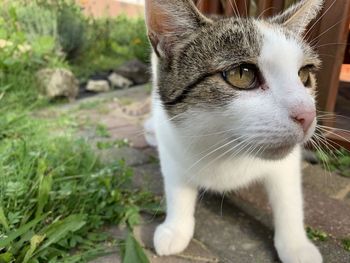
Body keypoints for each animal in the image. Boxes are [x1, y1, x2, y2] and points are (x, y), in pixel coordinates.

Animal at [144, 1, 322, 262]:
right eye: (242, 74)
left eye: (304, 75)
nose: (308, 115)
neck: (226, 152)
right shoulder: (171, 140)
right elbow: (177, 188)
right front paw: (175, 228)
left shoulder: (286, 165)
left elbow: (289, 200)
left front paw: (296, 245)